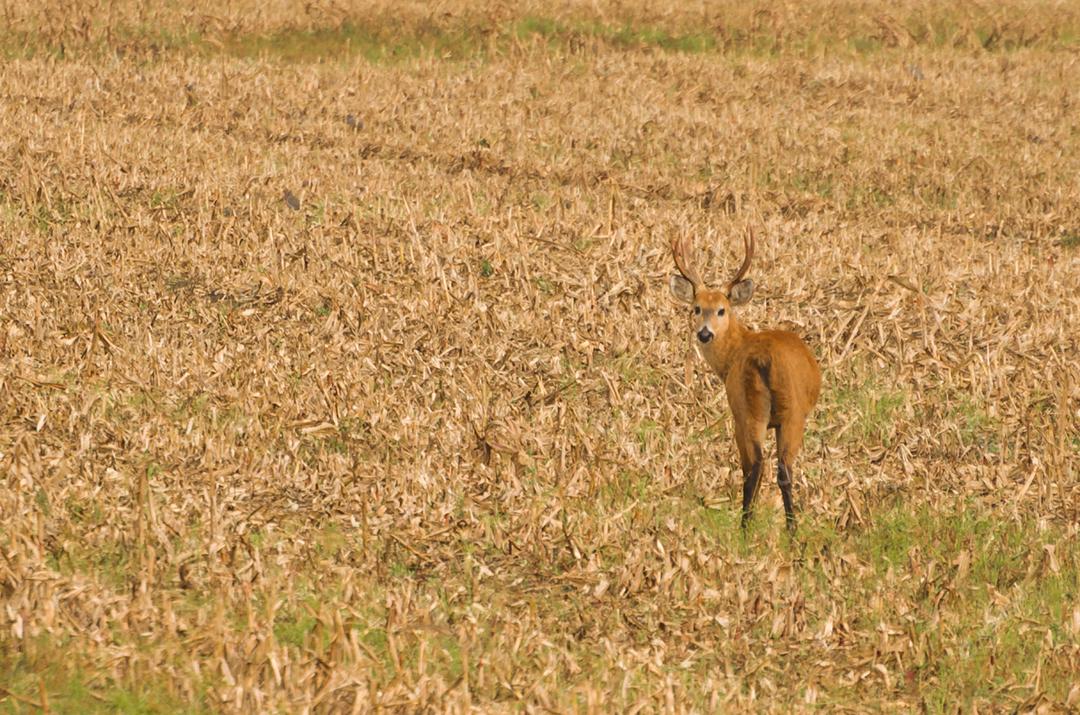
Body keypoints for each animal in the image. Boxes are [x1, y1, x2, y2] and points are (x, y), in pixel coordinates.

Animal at [665, 230, 816, 531]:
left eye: (721, 310)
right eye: (696, 308)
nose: (704, 334)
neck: (735, 351)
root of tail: (764, 360)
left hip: (753, 409)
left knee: (760, 465)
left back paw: (754, 526)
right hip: (779, 413)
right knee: (775, 467)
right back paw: (779, 528)